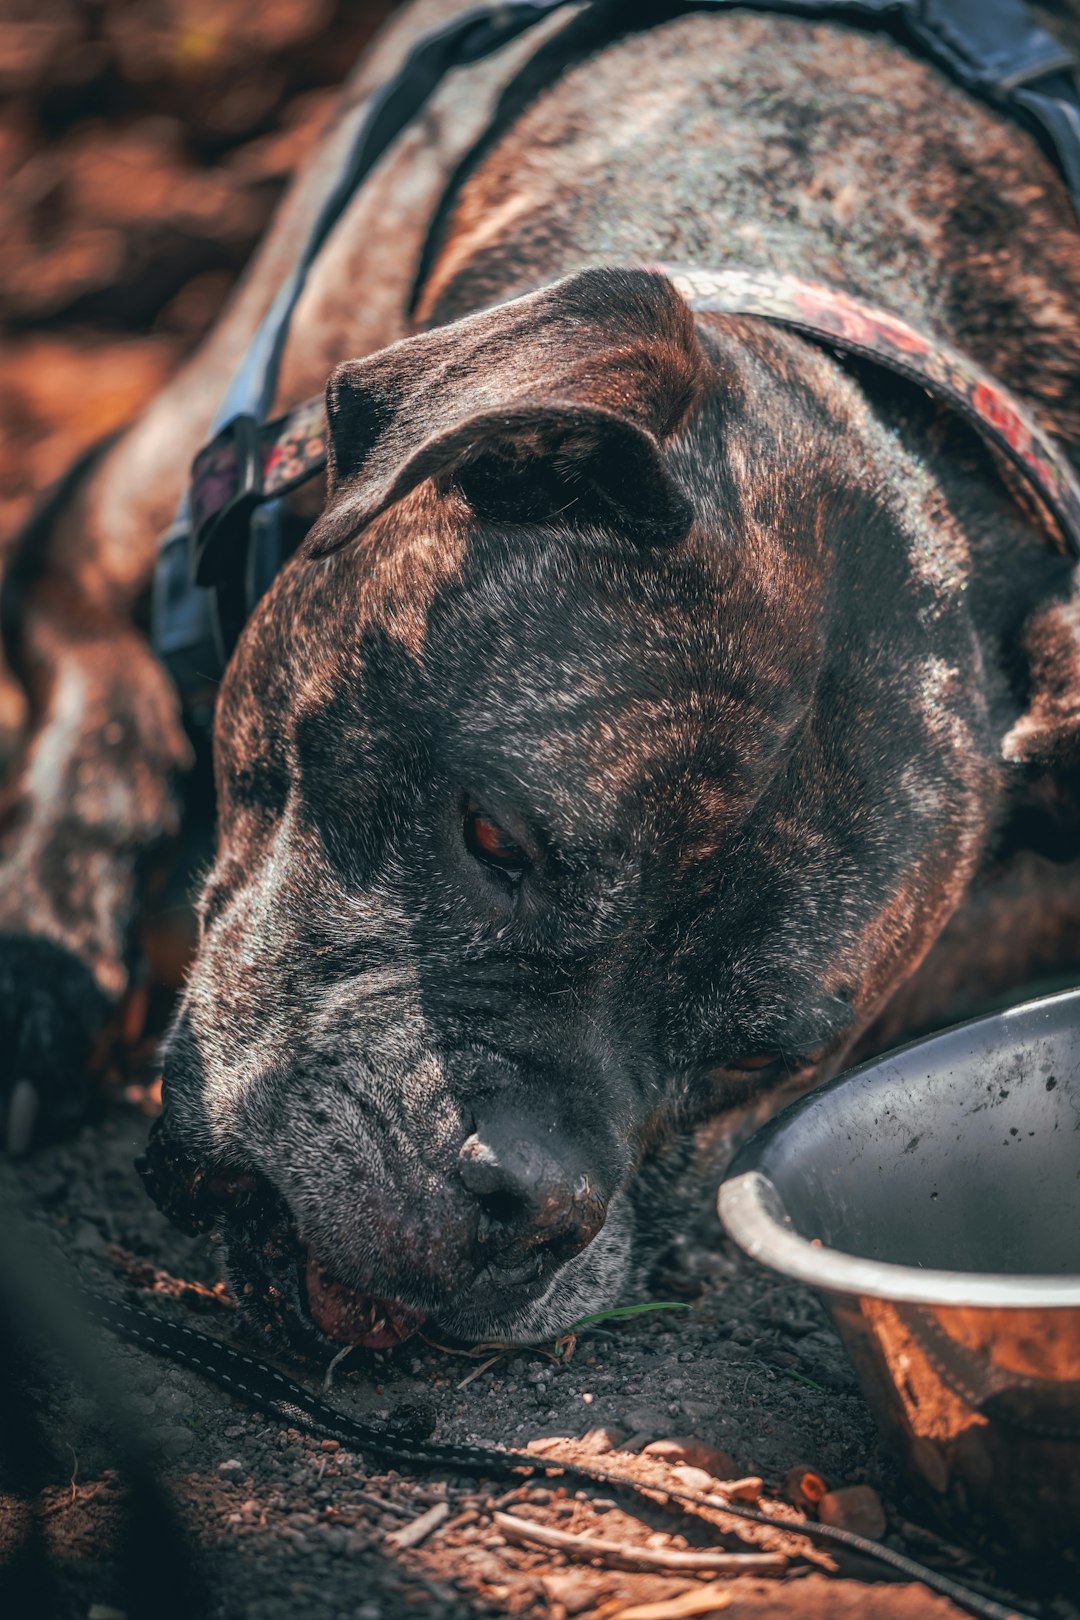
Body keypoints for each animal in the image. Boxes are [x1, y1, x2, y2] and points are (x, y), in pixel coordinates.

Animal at [2, 0, 1080, 1341]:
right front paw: (35, 978)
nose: (529, 1208)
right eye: (492, 838)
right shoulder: (91, 530)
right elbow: (100, 745)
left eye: (762, 1061)